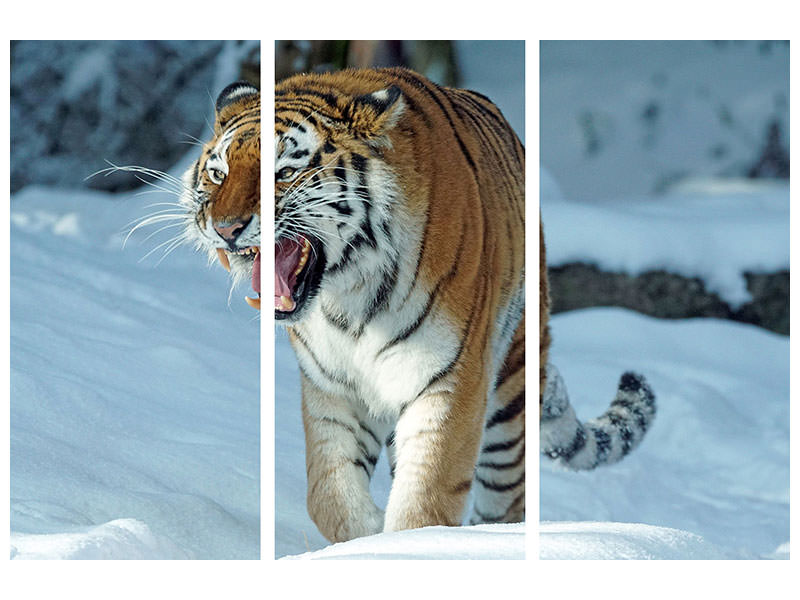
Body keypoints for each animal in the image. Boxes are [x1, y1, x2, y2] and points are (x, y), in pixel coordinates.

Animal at [274, 67, 525, 543]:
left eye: (285, 171)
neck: (350, 293)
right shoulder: (333, 386)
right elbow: (329, 492)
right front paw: (367, 534)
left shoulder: (451, 377)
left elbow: (426, 496)